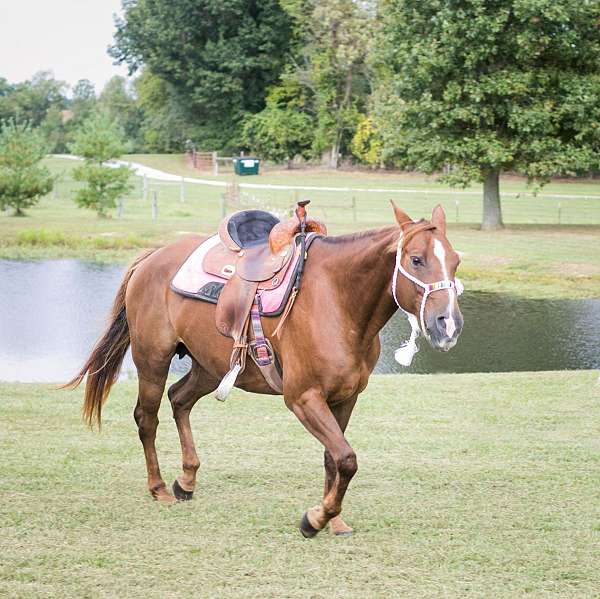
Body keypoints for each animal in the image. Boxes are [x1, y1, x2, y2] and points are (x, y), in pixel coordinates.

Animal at [69, 205, 464, 540]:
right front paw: (315, 519)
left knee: (179, 400)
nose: (449, 324)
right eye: (416, 259)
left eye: (456, 262)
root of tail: (151, 257)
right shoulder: (303, 398)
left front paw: (333, 519)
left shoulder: (346, 398)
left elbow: (334, 459)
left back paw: (187, 480)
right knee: (147, 418)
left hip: (209, 367)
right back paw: (160, 488)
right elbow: (346, 459)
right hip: (152, 359)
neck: (338, 301)